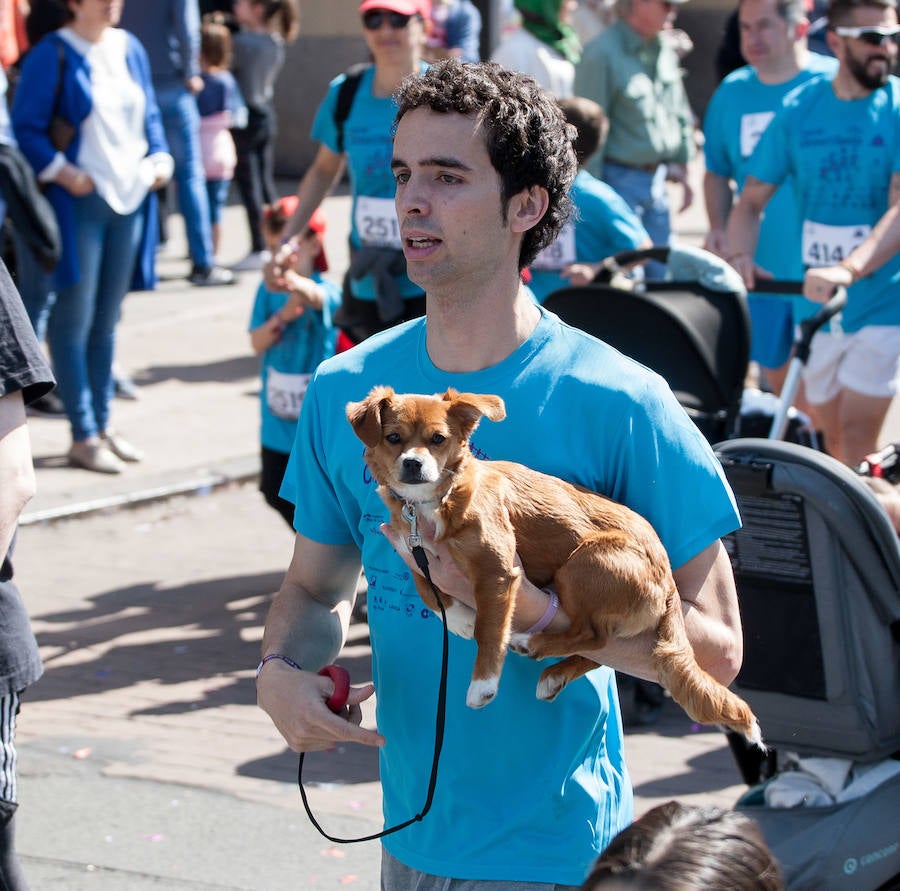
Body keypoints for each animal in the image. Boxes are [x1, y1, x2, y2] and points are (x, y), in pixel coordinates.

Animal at [348, 384, 764, 744]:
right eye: (393, 438)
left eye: (438, 439)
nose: (413, 464)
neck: (435, 502)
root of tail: (668, 582)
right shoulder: (412, 546)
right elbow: (424, 584)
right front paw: (460, 618)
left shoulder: (497, 570)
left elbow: (489, 630)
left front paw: (483, 683)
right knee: (603, 648)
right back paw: (556, 674)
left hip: (584, 564)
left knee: (594, 636)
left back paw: (533, 643)